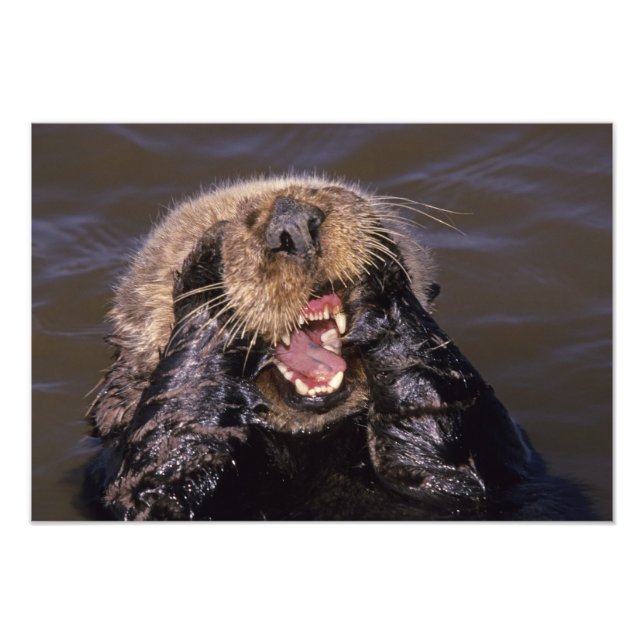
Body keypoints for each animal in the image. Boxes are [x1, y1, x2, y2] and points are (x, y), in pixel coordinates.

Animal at [86, 174, 591, 520]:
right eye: (230, 221)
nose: (292, 221)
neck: (310, 441)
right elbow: (163, 479)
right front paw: (207, 272)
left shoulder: (494, 457)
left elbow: (443, 451)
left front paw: (382, 281)